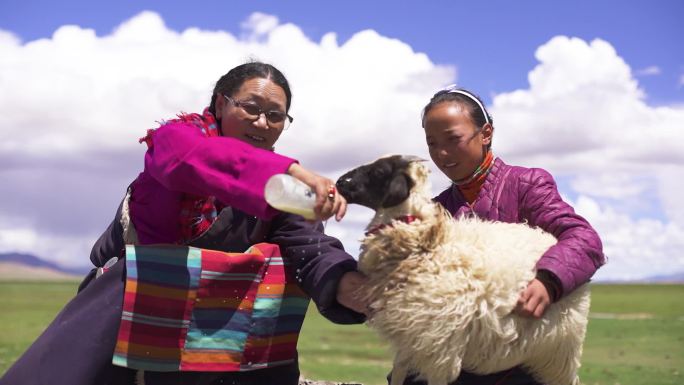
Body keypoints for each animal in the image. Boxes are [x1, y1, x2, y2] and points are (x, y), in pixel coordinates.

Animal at [336, 154, 588, 384]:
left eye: (379, 172)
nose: (340, 182)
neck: (426, 241)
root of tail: (549, 238)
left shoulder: (439, 346)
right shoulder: (411, 335)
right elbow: (398, 374)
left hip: (560, 353)